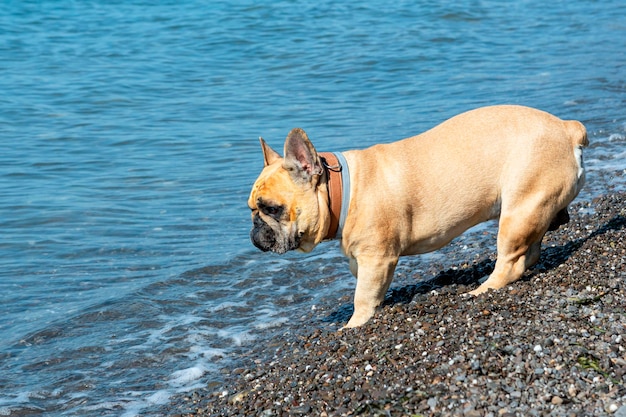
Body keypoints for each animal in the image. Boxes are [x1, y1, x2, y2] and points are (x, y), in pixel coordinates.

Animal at [247, 105, 584, 326]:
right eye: (252, 208)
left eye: (272, 209)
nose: (253, 232)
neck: (342, 190)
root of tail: (567, 128)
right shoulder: (364, 259)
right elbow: (367, 285)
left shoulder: (376, 258)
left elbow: (362, 296)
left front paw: (354, 324)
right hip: (531, 207)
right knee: (532, 250)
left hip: (517, 215)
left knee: (510, 261)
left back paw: (482, 289)